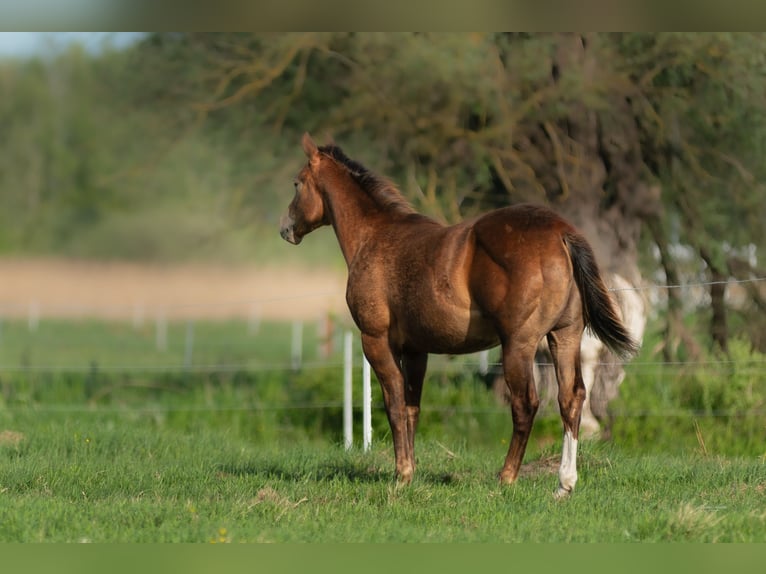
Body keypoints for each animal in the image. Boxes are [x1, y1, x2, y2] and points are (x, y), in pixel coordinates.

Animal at [280, 133, 639, 497]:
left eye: (297, 183)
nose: (286, 229)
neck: (375, 236)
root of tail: (561, 233)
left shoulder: (376, 341)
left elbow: (394, 405)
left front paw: (401, 474)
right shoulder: (416, 349)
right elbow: (412, 407)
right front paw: (410, 472)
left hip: (519, 344)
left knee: (525, 404)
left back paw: (507, 476)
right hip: (564, 336)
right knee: (571, 398)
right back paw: (564, 483)